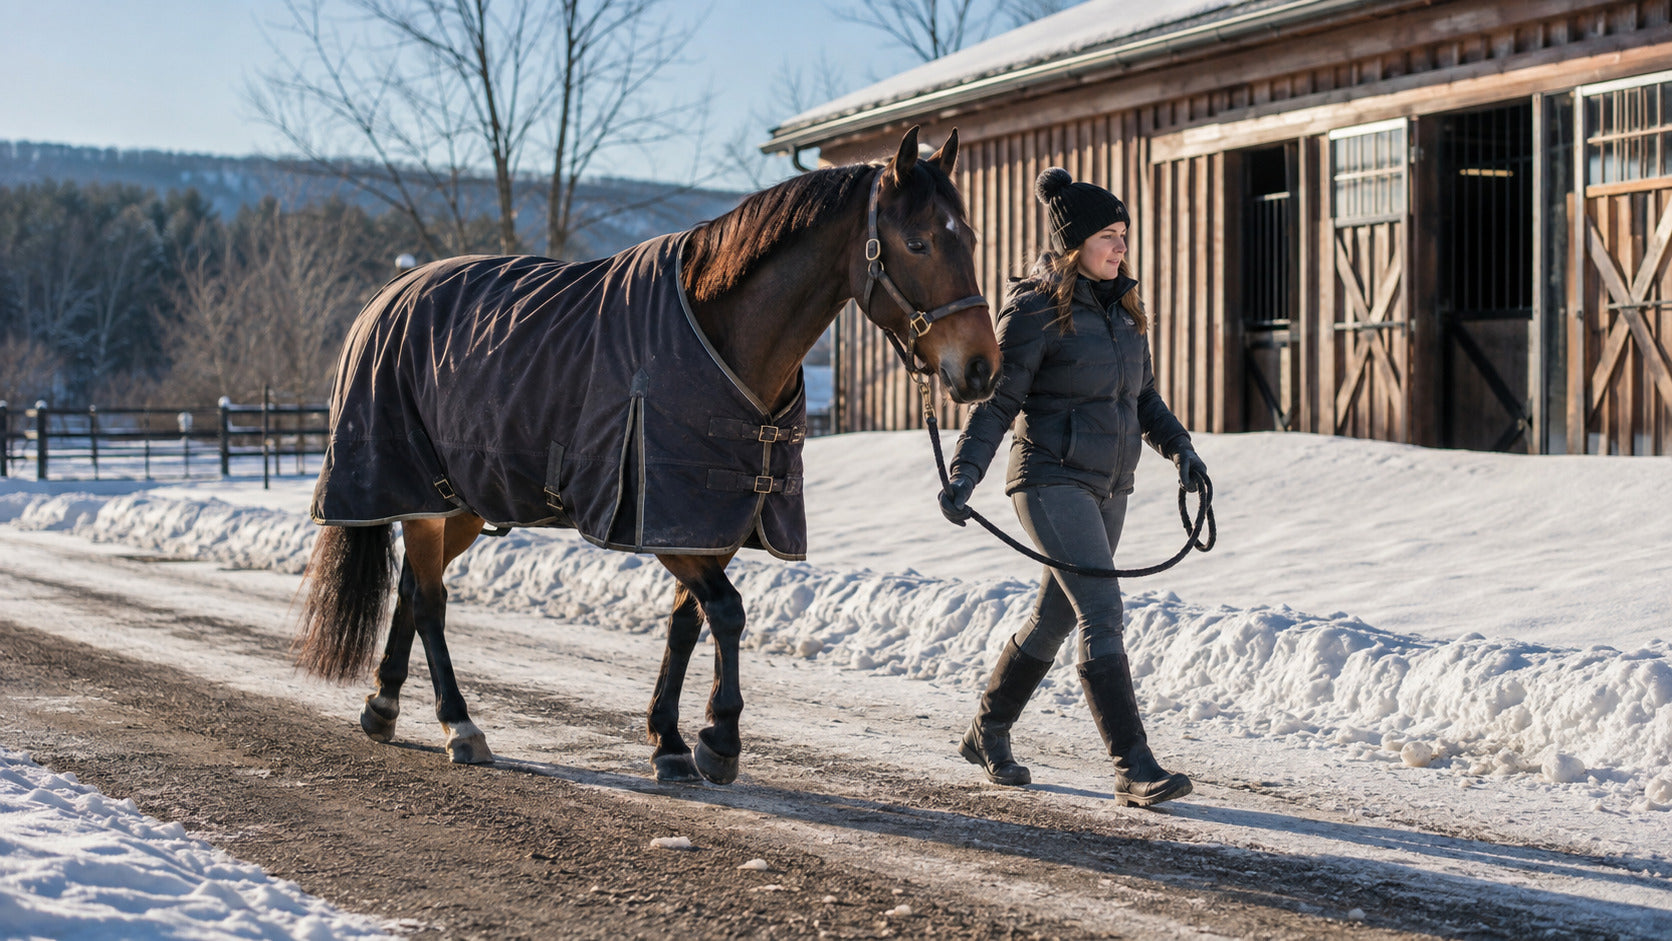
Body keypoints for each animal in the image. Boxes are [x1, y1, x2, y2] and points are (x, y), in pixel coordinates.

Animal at [292, 127, 999, 784]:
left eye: (968, 238)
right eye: (917, 243)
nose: (982, 369)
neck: (719, 336)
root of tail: (394, 290)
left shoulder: (708, 519)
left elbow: (687, 622)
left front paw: (670, 740)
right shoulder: (663, 520)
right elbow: (727, 612)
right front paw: (719, 739)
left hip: (457, 502)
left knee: (415, 589)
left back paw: (383, 705)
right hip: (417, 494)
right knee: (432, 603)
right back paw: (459, 725)